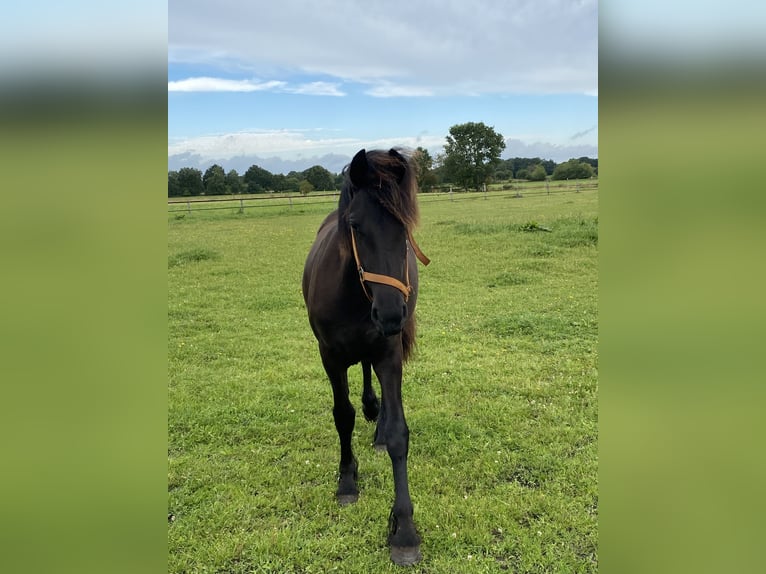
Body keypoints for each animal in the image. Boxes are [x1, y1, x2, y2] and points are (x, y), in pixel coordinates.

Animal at [302, 148, 432, 568]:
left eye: (404, 227)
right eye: (356, 225)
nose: (391, 314)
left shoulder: (388, 353)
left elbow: (398, 435)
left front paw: (404, 530)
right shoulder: (329, 355)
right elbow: (342, 416)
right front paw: (347, 481)